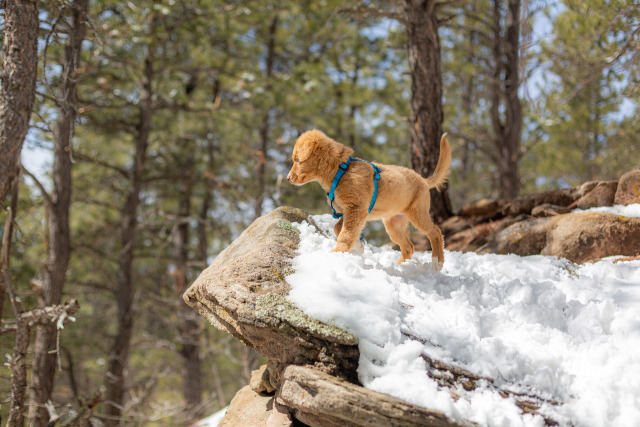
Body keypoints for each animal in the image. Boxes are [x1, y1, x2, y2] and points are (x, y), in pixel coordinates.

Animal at [284, 130, 450, 270]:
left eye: (297, 160)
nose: (287, 178)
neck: (340, 171)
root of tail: (423, 179)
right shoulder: (347, 212)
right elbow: (339, 228)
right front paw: (358, 245)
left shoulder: (356, 209)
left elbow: (345, 233)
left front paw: (338, 253)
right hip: (394, 224)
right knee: (409, 247)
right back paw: (401, 266)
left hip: (418, 213)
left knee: (435, 232)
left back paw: (437, 262)